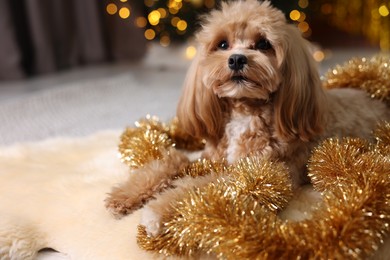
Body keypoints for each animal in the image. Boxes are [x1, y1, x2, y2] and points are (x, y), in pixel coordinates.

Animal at [105, 0, 388, 236]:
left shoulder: (259, 172)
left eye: (263, 44)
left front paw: (158, 211)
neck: (244, 112)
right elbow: (172, 160)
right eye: (222, 44)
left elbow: (198, 187)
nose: (237, 59)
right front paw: (125, 194)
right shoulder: (210, 157)